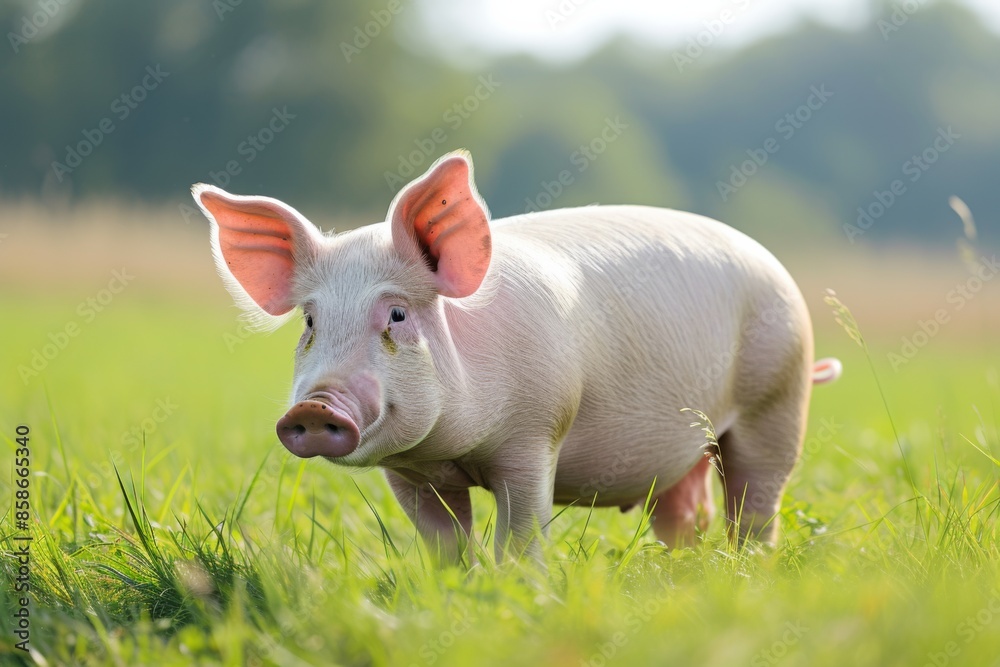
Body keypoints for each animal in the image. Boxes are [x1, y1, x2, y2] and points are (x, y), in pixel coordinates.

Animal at [192, 150, 840, 563]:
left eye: (397, 315)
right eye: (310, 320)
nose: (317, 406)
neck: (451, 450)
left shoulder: (535, 437)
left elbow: (522, 536)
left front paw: (520, 587)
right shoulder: (409, 473)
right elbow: (444, 543)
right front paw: (453, 589)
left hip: (777, 396)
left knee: (756, 500)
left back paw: (747, 569)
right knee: (686, 512)